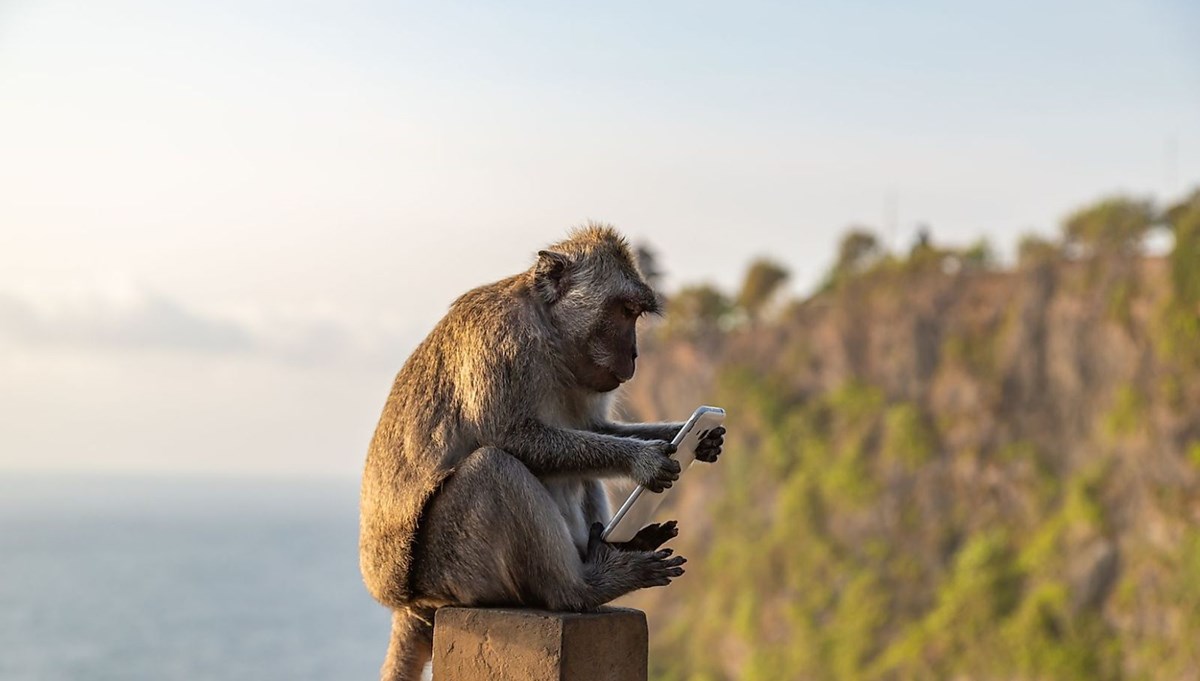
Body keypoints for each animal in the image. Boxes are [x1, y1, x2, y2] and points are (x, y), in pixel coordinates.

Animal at [360, 224, 724, 681]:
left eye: (637, 314)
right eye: (624, 311)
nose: (635, 353)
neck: (548, 332)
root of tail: (408, 606)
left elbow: (594, 432)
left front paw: (693, 436)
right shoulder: (499, 340)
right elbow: (507, 434)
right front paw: (643, 460)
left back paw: (614, 549)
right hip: (453, 573)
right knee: (492, 468)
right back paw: (582, 588)